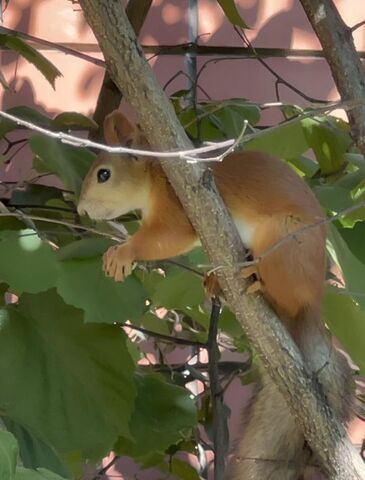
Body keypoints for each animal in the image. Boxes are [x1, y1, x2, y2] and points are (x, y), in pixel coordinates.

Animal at [77, 111, 352, 480]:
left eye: (103, 174)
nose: (81, 209)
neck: (156, 175)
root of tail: (313, 304)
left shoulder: (177, 206)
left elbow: (169, 236)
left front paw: (122, 253)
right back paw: (216, 281)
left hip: (285, 242)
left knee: (285, 296)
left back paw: (255, 278)